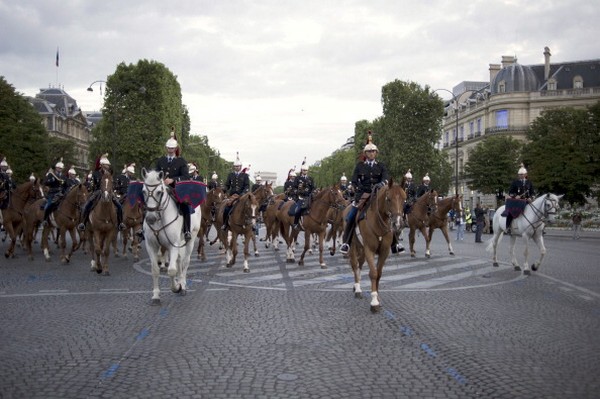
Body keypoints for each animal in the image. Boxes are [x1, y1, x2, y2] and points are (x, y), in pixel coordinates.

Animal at [142, 170, 203, 306]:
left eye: (159, 192)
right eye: (143, 191)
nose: (150, 218)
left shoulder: (172, 245)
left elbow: (171, 270)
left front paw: (176, 287)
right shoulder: (151, 245)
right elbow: (155, 269)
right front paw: (156, 296)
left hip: (190, 239)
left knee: (185, 262)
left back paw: (183, 286)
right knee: (179, 260)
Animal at [344, 183, 406, 314]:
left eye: (404, 199)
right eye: (388, 199)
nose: (397, 224)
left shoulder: (384, 251)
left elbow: (379, 274)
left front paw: (377, 298)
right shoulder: (369, 250)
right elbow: (373, 273)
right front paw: (374, 302)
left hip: (362, 248)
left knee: (359, 264)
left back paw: (357, 286)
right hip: (353, 246)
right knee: (354, 265)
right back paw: (357, 289)